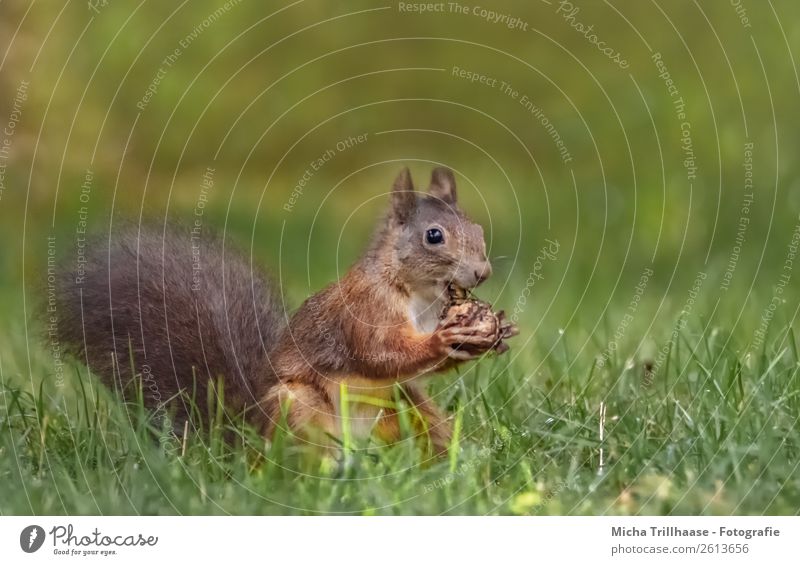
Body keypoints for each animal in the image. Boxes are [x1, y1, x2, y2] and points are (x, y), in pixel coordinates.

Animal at [56, 165, 520, 452]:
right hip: (297, 407)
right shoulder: (364, 308)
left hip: (406, 407)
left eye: (478, 228)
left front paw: (495, 334)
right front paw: (444, 340)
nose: (482, 271)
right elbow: (380, 352)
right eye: (433, 236)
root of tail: (245, 440)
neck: (419, 295)